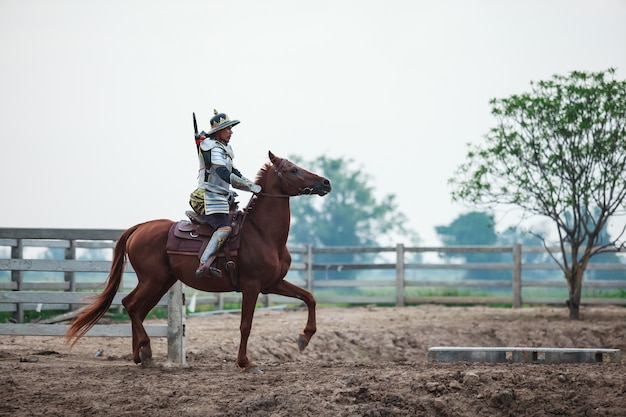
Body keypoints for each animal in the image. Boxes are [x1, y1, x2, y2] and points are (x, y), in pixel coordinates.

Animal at [66, 152, 332, 370]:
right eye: (293, 170)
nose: (325, 182)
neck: (261, 232)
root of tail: (140, 228)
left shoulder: (272, 284)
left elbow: (309, 297)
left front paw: (304, 338)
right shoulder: (252, 286)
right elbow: (245, 325)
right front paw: (245, 363)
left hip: (161, 282)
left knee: (138, 309)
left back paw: (140, 355)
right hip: (153, 280)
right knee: (130, 304)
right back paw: (146, 351)